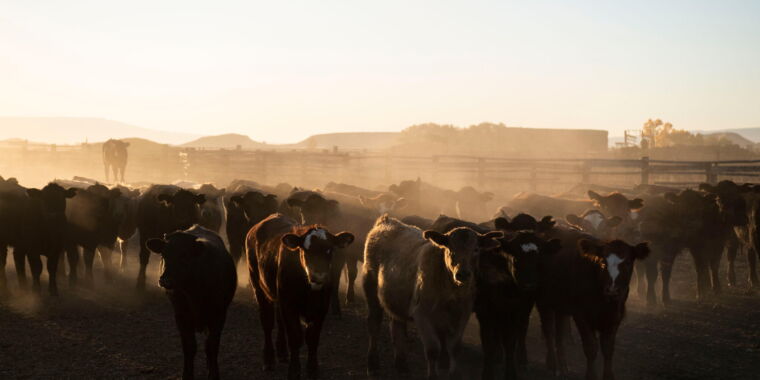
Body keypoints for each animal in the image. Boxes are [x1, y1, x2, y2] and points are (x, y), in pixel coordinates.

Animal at [145, 226, 235, 380]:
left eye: (185, 256)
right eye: (164, 254)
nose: (165, 280)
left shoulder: (219, 316)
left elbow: (211, 346)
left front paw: (213, 374)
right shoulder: (181, 316)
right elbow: (189, 347)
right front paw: (187, 374)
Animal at [249, 212, 356, 378]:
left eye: (330, 250)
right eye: (305, 250)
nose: (318, 276)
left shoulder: (321, 307)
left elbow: (312, 338)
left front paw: (312, 369)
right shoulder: (289, 305)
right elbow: (295, 336)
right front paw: (294, 370)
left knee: (280, 322)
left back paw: (282, 352)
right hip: (259, 287)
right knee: (267, 323)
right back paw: (269, 359)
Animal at [364, 215, 504, 378]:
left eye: (476, 249)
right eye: (450, 248)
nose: (462, 274)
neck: (450, 293)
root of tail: (387, 221)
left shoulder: (461, 316)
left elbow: (455, 348)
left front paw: (454, 374)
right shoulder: (422, 314)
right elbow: (433, 349)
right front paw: (433, 375)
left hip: (395, 300)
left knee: (397, 327)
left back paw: (401, 365)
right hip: (371, 289)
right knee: (374, 325)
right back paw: (372, 364)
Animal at [536, 235, 652, 380]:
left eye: (627, 263)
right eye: (603, 263)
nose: (612, 290)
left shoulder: (615, 317)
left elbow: (608, 348)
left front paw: (608, 376)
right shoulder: (581, 315)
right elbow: (590, 347)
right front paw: (591, 375)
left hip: (561, 306)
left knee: (559, 334)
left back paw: (563, 366)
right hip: (543, 301)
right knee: (549, 331)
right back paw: (552, 365)